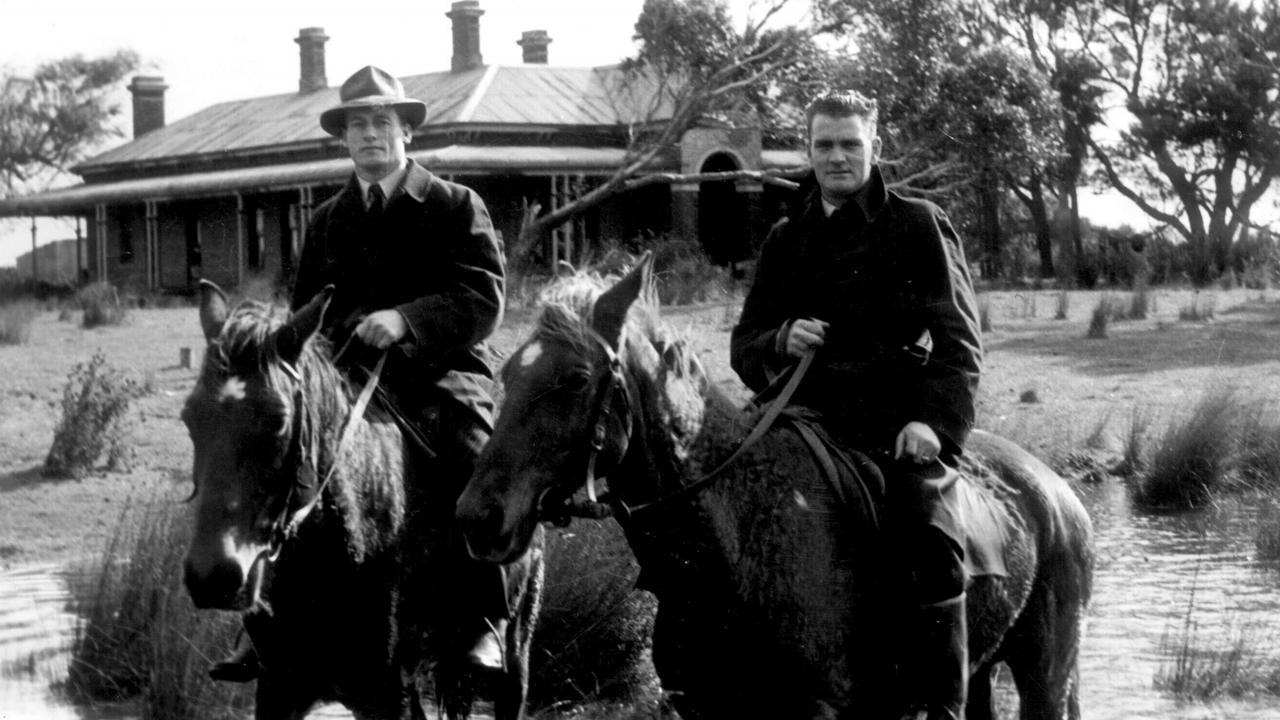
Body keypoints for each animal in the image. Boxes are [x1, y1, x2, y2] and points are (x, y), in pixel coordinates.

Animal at [183, 280, 542, 717]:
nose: (212, 576)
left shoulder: (386, 693)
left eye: (279, 420)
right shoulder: (279, 687)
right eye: (190, 417)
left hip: (514, 661)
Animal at [455, 256, 1095, 717]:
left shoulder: (821, 709)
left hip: (1044, 673)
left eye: (576, 379)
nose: (478, 517)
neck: (734, 535)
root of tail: (1059, 493)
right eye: (507, 373)